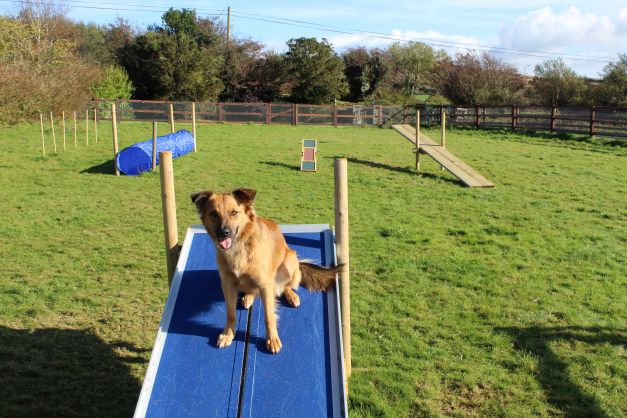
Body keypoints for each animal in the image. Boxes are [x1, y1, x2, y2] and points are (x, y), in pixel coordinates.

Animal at [191, 189, 340, 352]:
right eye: (214, 214)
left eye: (234, 212)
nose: (224, 233)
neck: (239, 249)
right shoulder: (227, 283)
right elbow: (230, 314)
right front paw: (228, 334)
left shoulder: (265, 284)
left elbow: (269, 316)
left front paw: (272, 339)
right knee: (251, 290)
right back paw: (248, 297)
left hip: (289, 263)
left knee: (286, 285)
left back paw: (291, 296)